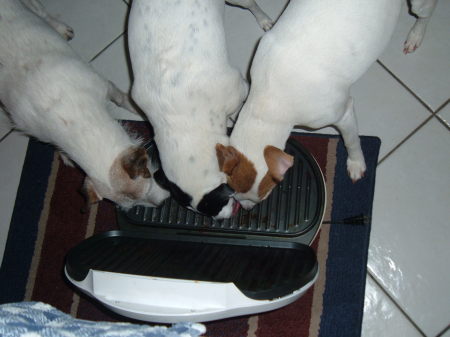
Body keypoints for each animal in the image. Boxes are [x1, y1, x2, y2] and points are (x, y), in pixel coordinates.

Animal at [0, 0, 169, 210]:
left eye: (149, 181)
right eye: (134, 204)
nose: (162, 204)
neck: (69, 117)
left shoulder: (104, 85)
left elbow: (121, 98)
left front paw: (138, 110)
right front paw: (64, 156)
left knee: (37, 7)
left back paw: (59, 27)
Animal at [128, 0, 272, 218]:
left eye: (219, 201)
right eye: (203, 212)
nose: (223, 219)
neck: (182, 122)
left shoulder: (240, 89)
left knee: (251, 5)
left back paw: (264, 19)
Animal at [216, 0, 438, 209]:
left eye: (263, 195)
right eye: (232, 193)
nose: (246, 208)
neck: (268, 106)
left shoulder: (343, 115)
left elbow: (351, 141)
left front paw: (356, 163)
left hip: (419, 6)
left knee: (424, 14)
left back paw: (416, 35)